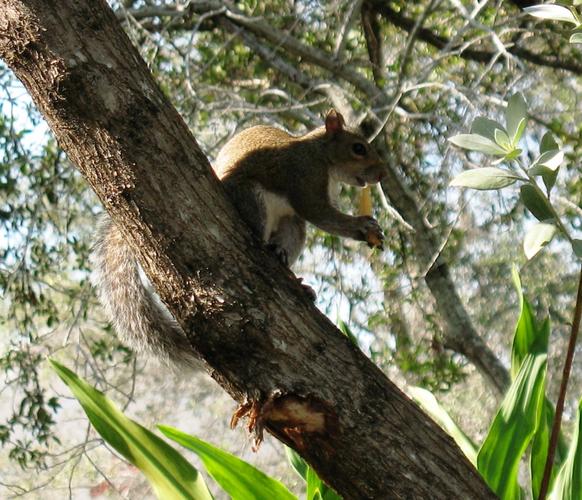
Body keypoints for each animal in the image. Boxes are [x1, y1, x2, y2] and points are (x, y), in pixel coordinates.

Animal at [91, 109, 390, 366]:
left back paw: (289, 269)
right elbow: (321, 214)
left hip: (290, 224)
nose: (382, 174)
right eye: (358, 148)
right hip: (250, 198)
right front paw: (362, 226)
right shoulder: (304, 178)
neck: (320, 155)